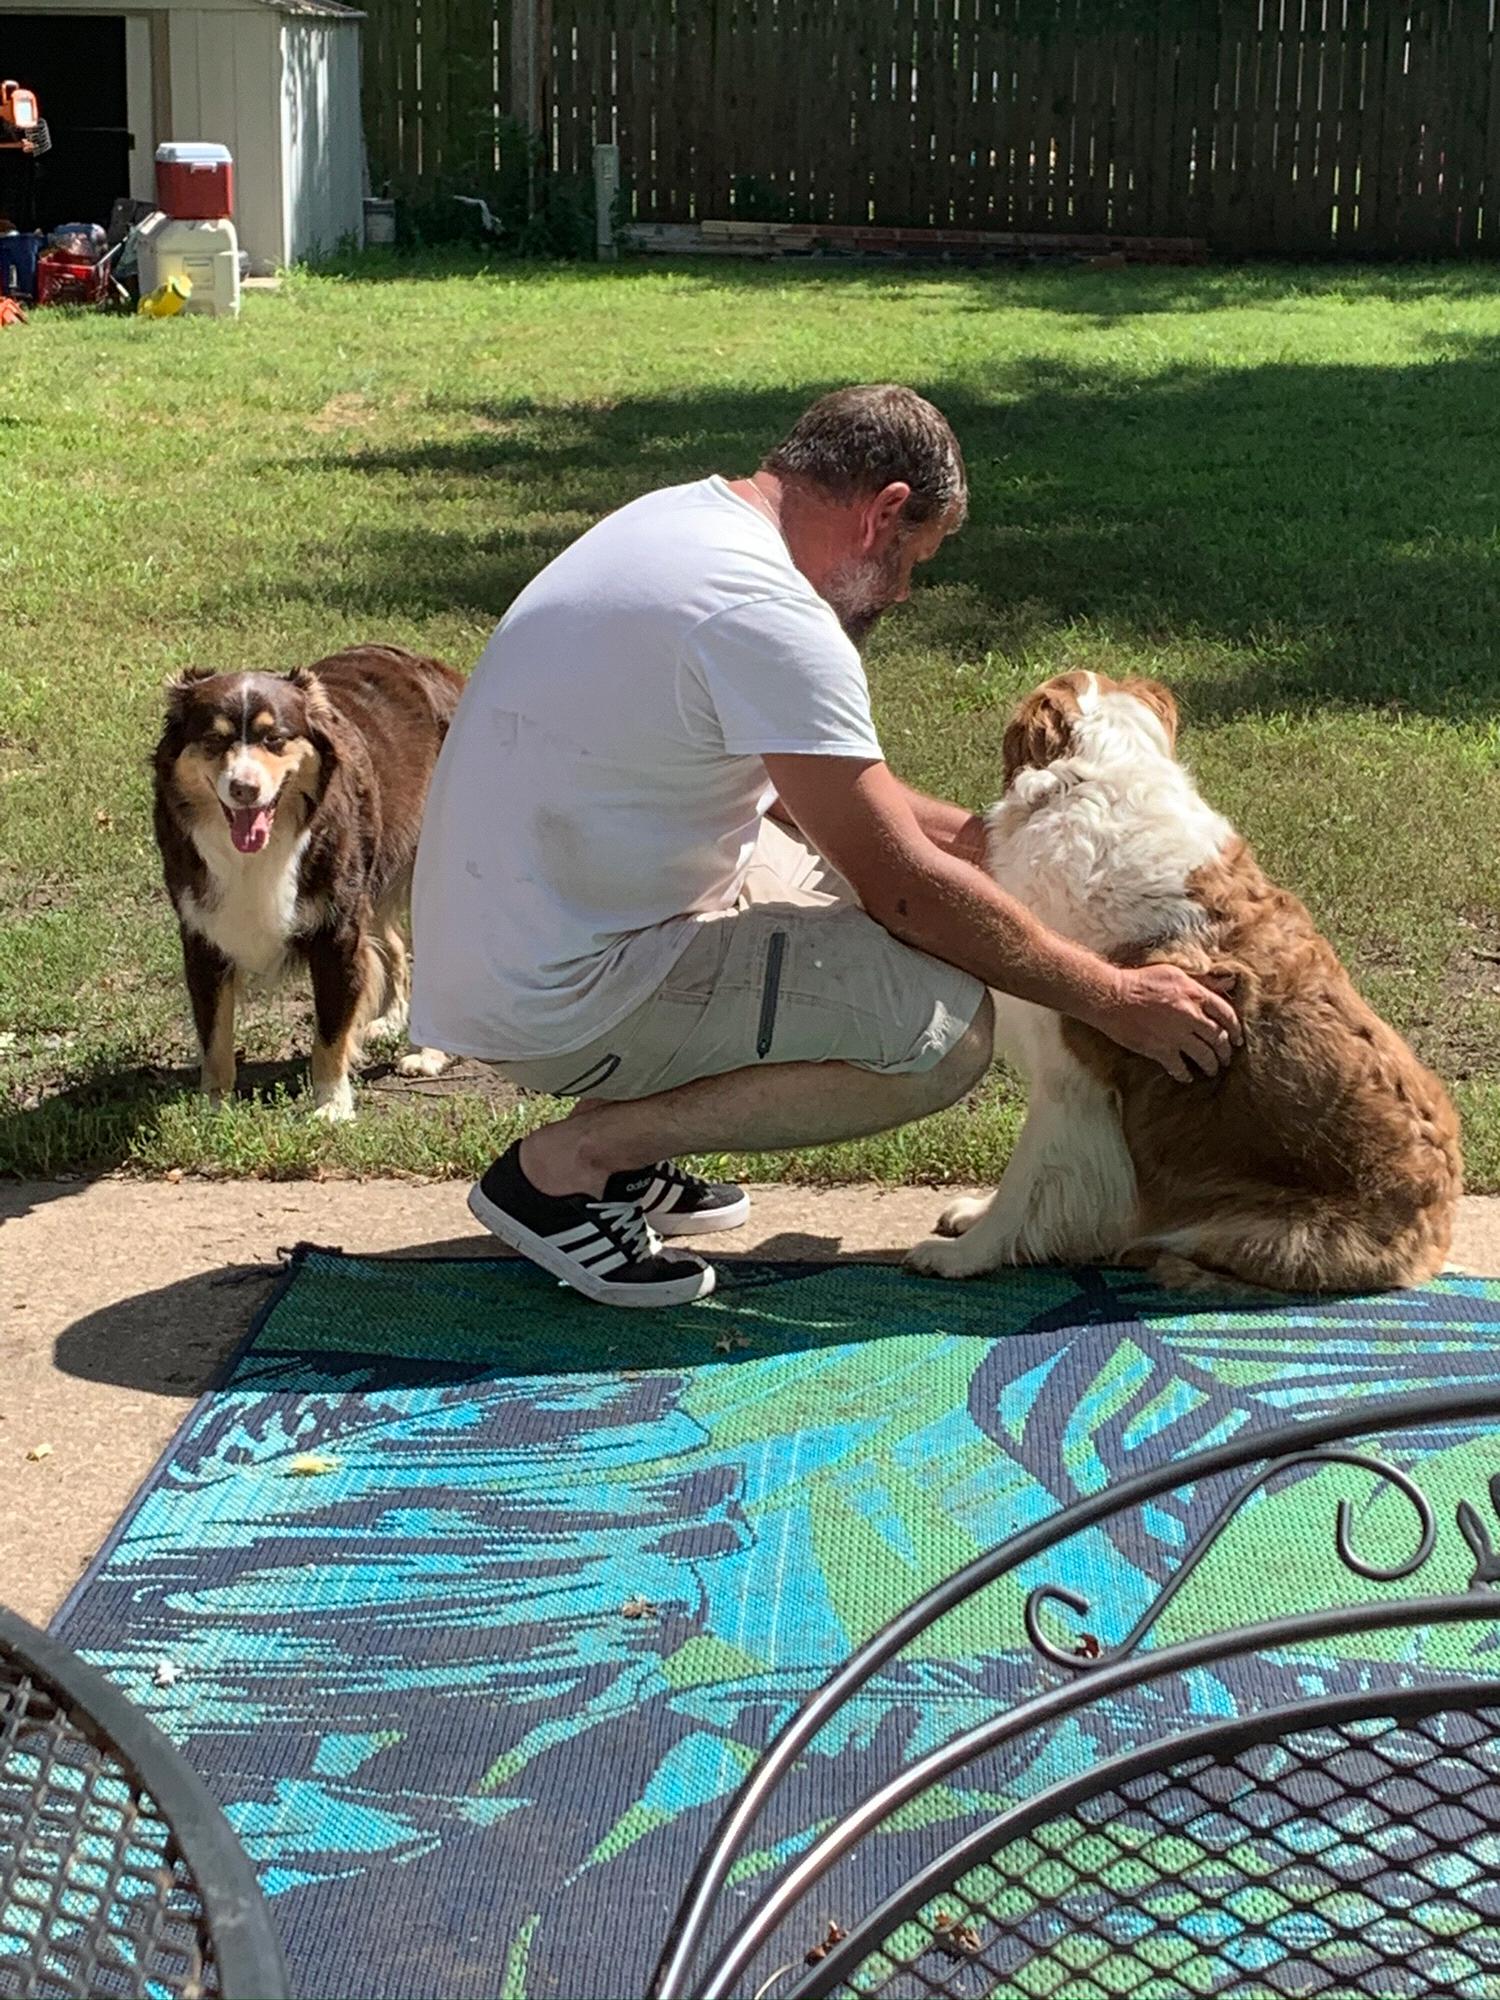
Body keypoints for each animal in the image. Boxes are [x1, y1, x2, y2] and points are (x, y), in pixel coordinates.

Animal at [912, 672, 1464, 1296]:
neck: (1097, 780)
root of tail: (1437, 1232)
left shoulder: (1070, 1077)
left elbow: (1027, 1180)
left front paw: (966, 1255)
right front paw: (972, 1216)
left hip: (1257, 1232)